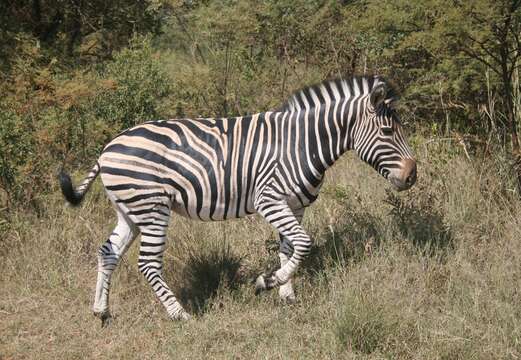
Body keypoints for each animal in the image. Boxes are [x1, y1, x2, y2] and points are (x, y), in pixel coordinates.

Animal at [59, 75, 416, 324]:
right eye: (387, 132)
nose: (412, 175)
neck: (301, 143)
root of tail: (107, 149)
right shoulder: (269, 199)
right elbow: (304, 243)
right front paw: (268, 281)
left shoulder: (294, 205)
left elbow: (290, 247)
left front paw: (286, 294)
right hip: (152, 208)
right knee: (147, 263)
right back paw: (179, 314)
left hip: (130, 211)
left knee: (108, 253)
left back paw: (102, 311)